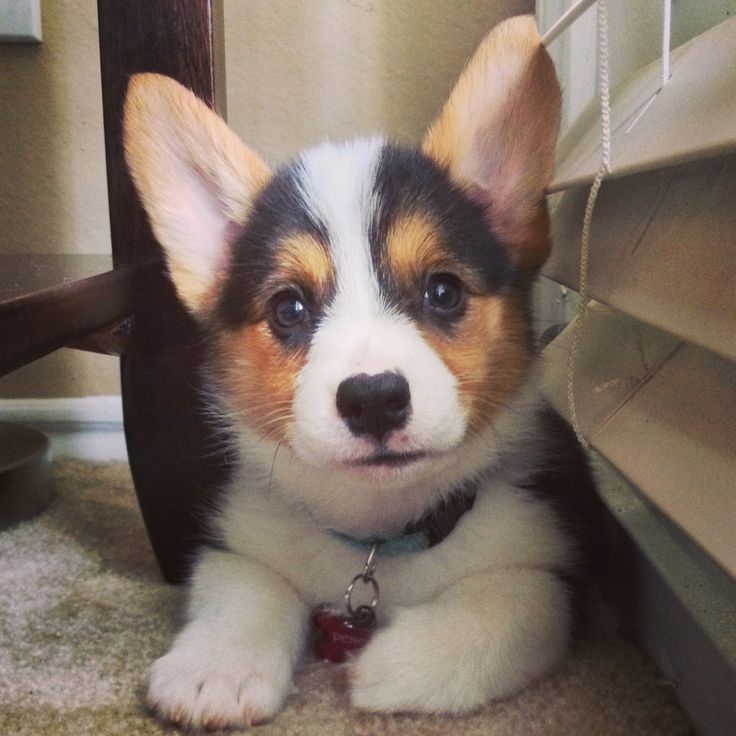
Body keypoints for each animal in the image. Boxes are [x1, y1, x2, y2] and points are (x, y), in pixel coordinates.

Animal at [125, 14, 600, 728]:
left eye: (443, 292)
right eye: (289, 307)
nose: (374, 399)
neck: (378, 531)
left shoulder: (555, 568)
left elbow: (511, 603)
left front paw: (393, 667)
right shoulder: (239, 540)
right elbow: (246, 586)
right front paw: (215, 670)